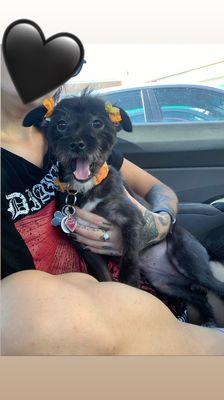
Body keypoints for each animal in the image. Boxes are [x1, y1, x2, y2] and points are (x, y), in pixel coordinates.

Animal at [23, 92, 224, 324]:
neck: (85, 189)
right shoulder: (85, 246)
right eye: (61, 124)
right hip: (166, 285)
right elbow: (106, 278)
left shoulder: (132, 219)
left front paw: (130, 284)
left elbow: (129, 256)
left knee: (216, 287)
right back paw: (208, 318)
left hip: (188, 259)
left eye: (97, 123)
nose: (77, 144)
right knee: (200, 297)